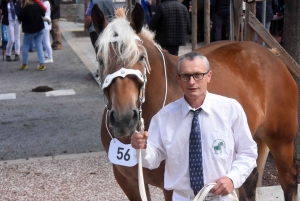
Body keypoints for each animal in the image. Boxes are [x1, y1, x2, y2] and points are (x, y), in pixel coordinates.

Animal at [91, 3, 298, 201]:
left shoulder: (171, 187)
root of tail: (273, 54)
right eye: (100, 60)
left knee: (289, 181)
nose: (124, 119)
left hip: (281, 141)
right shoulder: (129, 182)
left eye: (141, 57)